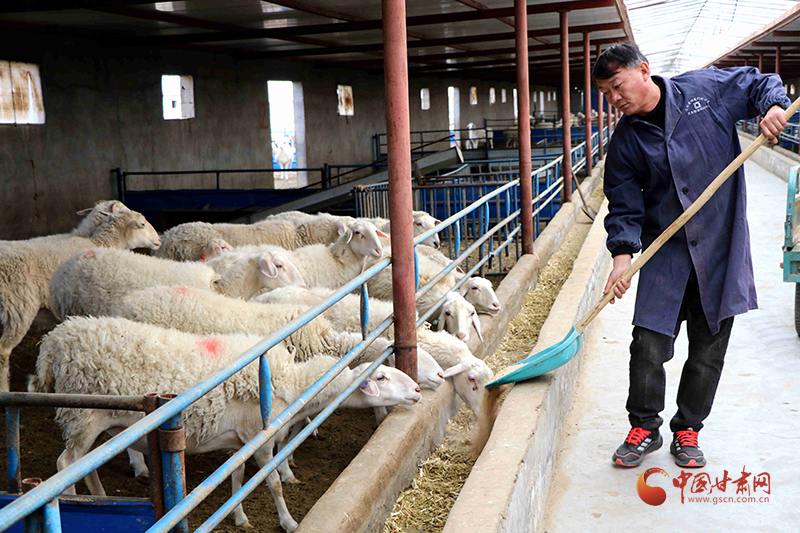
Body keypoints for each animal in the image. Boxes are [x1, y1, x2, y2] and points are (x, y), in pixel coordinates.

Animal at [0, 209, 161, 390]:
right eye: (142, 224)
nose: (159, 240)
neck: (100, 242)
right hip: (19, 306)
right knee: (3, 350)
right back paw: (4, 388)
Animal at [29, 314, 418, 528]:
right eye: (382, 376)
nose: (416, 391)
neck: (294, 383)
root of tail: (52, 344)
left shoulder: (240, 440)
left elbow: (237, 477)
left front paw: (239, 516)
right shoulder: (260, 437)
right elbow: (272, 482)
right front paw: (289, 521)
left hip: (103, 425)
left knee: (83, 466)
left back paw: (98, 498)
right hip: (81, 415)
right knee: (65, 464)